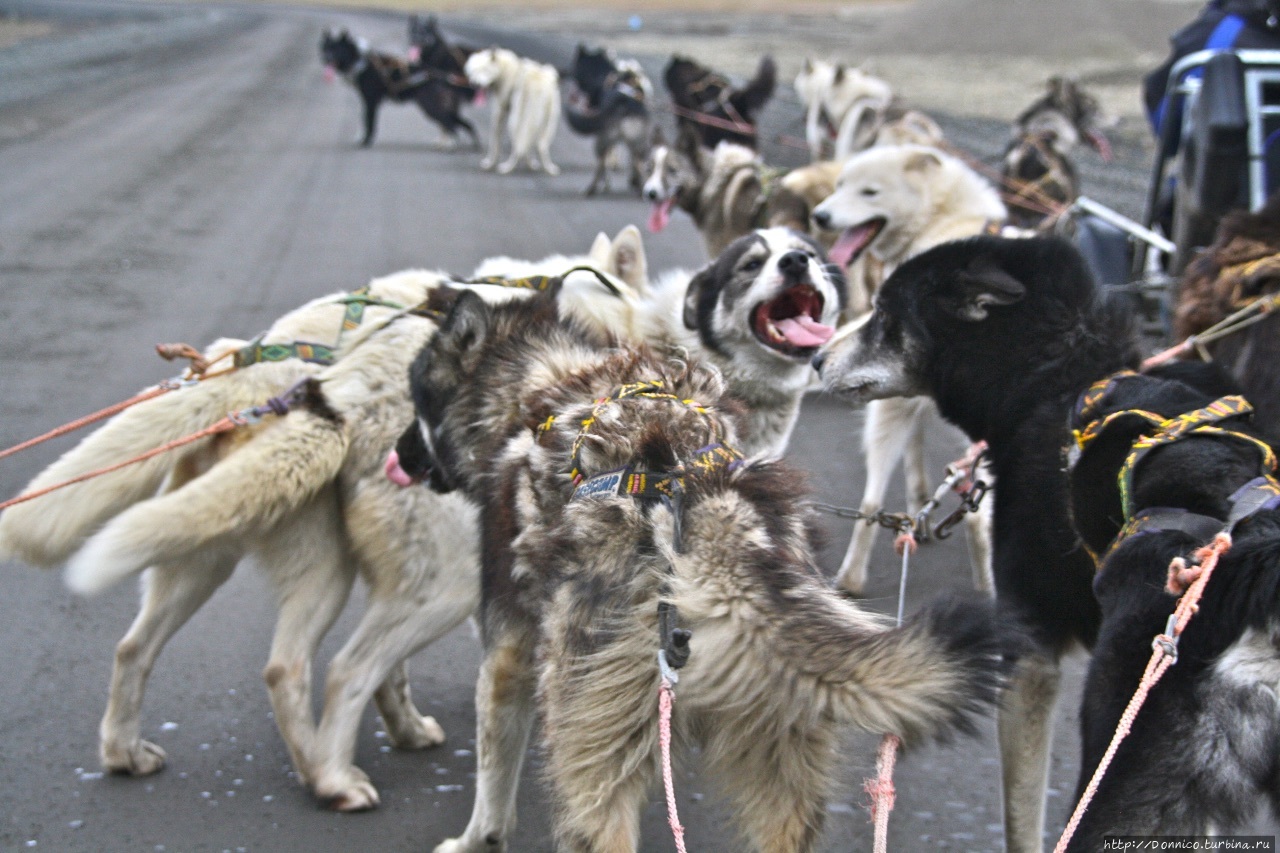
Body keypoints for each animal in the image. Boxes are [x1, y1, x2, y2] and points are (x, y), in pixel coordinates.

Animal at [322, 27, 478, 147]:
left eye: (336, 49)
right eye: (327, 49)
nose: (326, 58)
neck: (361, 61)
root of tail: (442, 75)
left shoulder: (371, 101)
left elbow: (368, 122)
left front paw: (365, 142)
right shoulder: (368, 101)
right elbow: (365, 122)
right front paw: (362, 139)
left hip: (431, 107)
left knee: (450, 125)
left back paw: (451, 144)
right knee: (466, 125)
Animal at [463, 46, 558, 174]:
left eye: (484, 70)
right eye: (473, 72)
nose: (475, 84)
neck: (504, 71)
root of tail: (536, 81)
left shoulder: (499, 112)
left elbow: (495, 141)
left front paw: (490, 163)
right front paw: (531, 164)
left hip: (515, 120)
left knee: (518, 145)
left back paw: (507, 167)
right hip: (547, 122)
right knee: (540, 145)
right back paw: (549, 168)